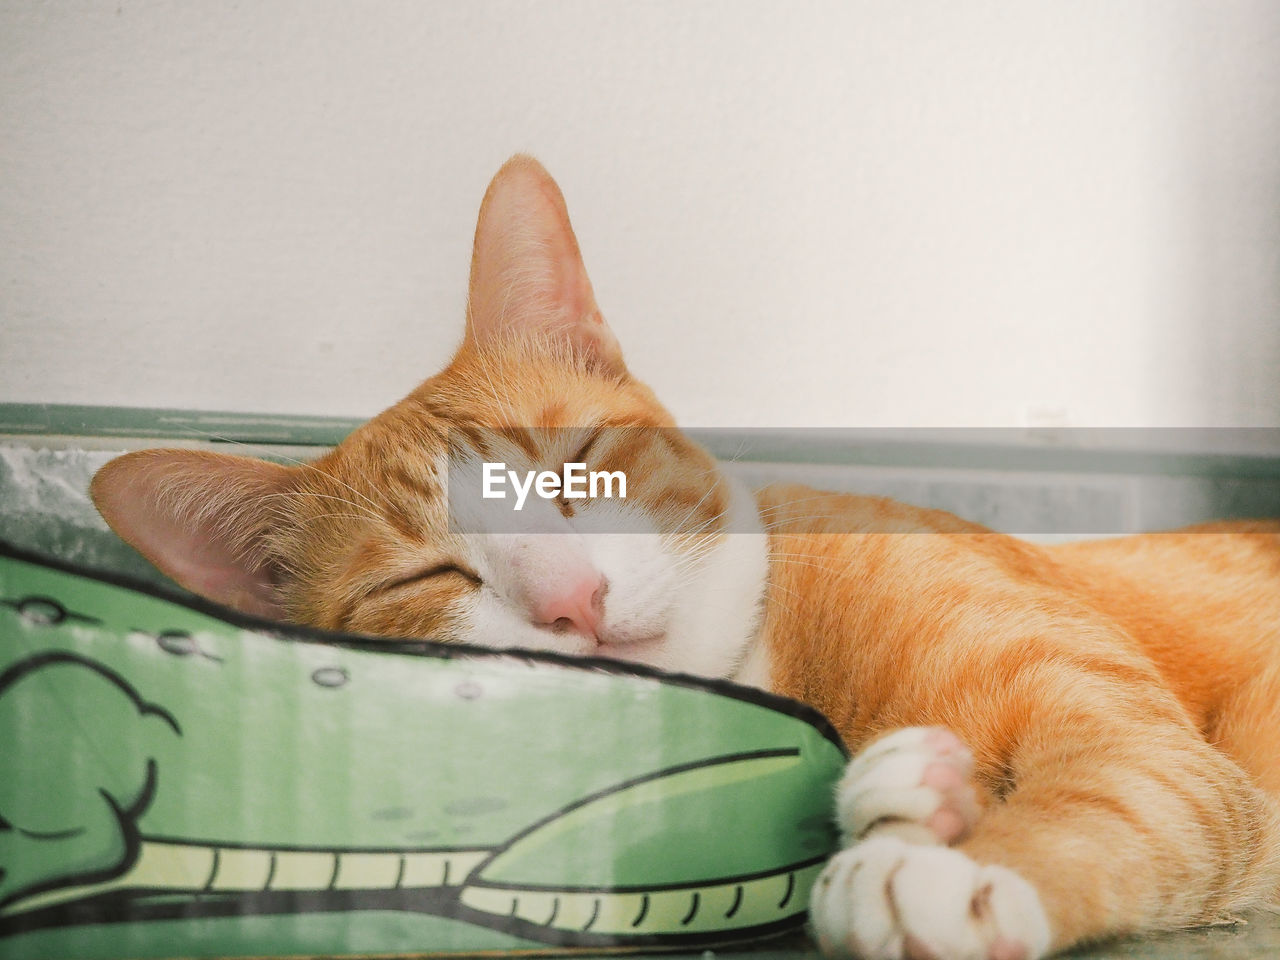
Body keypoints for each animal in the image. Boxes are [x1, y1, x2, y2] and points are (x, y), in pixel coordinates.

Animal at [92, 158, 1280, 960]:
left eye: (571, 462)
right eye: (420, 582)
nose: (572, 601)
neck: (774, 660)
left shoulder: (1149, 748)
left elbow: (1115, 789)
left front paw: (958, 869)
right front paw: (919, 804)